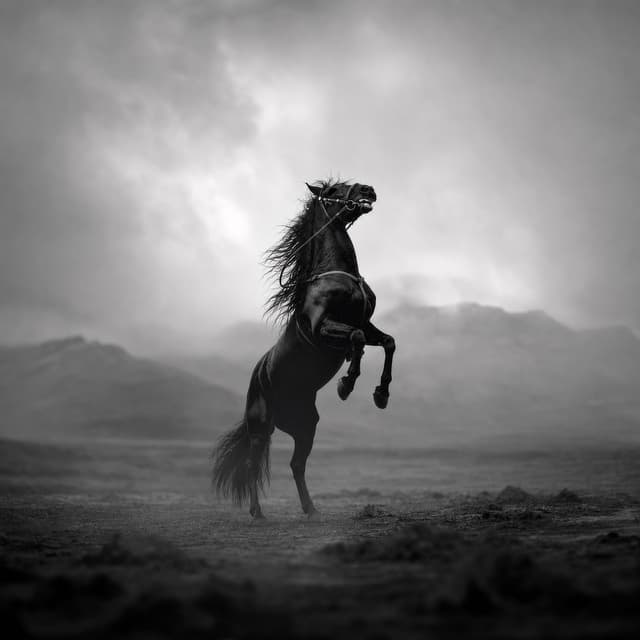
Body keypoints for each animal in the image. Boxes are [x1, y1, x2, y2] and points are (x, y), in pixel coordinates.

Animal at [211, 179, 396, 519]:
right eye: (334, 190)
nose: (368, 189)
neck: (337, 275)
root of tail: (257, 376)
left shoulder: (366, 324)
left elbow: (387, 342)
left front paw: (381, 395)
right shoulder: (322, 329)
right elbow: (355, 339)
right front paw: (346, 384)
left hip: (305, 426)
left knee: (296, 465)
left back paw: (310, 509)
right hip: (261, 429)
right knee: (252, 464)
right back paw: (257, 512)